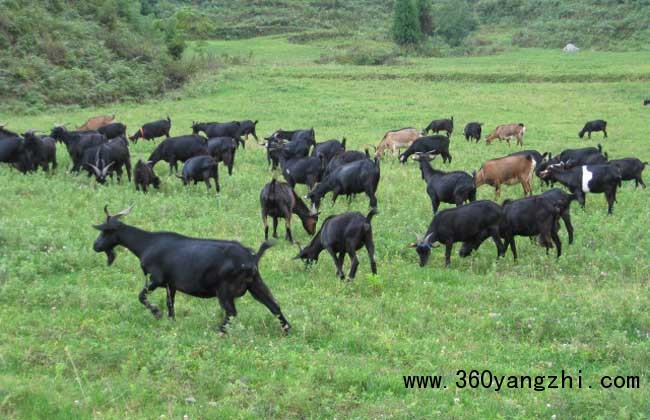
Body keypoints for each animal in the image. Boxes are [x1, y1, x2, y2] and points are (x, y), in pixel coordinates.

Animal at [91, 204, 288, 334]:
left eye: (105, 231)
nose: (95, 246)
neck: (146, 244)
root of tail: (252, 257)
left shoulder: (156, 279)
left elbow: (142, 296)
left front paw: (157, 313)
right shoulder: (170, 284)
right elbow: (170, 303)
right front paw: (171, 321)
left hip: (225, 289)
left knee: (231, 312)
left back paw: (220, 332)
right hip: (255, 283)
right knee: (274, 306)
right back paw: (287, 330)